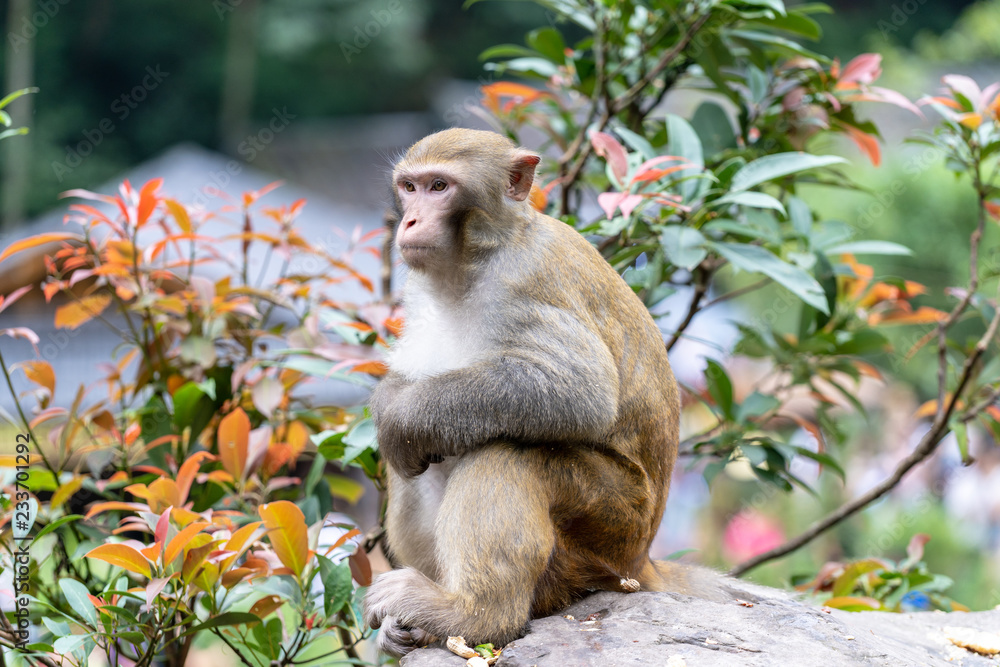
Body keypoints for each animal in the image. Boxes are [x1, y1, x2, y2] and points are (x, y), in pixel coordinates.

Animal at [363, 128, 722, 658]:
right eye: (409, 188)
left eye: (439, 187)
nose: (409, 221)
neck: (480, 255)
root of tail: (642, 560)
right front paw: (390, 400)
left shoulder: (522, 282)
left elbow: (579, 391)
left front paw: (400, 413)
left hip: (610, 526)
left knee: (512, 451)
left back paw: (474, 613)